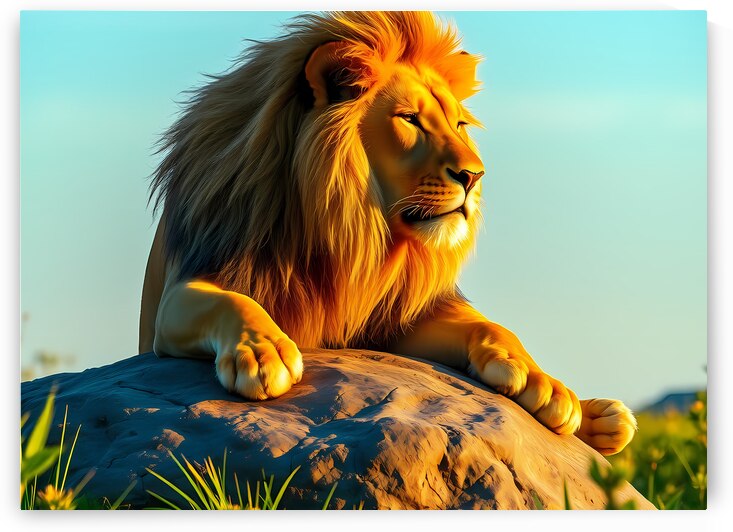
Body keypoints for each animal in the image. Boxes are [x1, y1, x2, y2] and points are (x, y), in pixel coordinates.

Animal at [138, 11, 636, 455]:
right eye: (409, 119)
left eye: (458, 124)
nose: (475, 176)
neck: (345, 233)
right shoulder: (182, 290)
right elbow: (232, 302)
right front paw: (266, 354)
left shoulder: (388, 321)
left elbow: (491, 325)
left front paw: (540, 381)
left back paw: (599, 415)